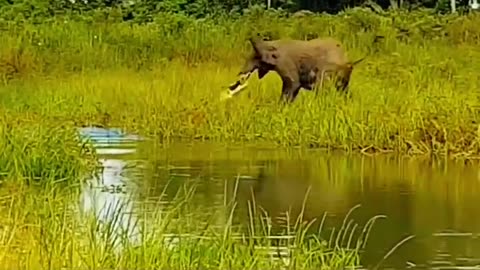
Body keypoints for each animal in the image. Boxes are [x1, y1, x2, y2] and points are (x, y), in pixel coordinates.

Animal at [229, 36, 364, 103]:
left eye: (256, 57)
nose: (240, 76)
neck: (273, 43)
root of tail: (349, 61)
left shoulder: (286, 64)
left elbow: (292, 85)